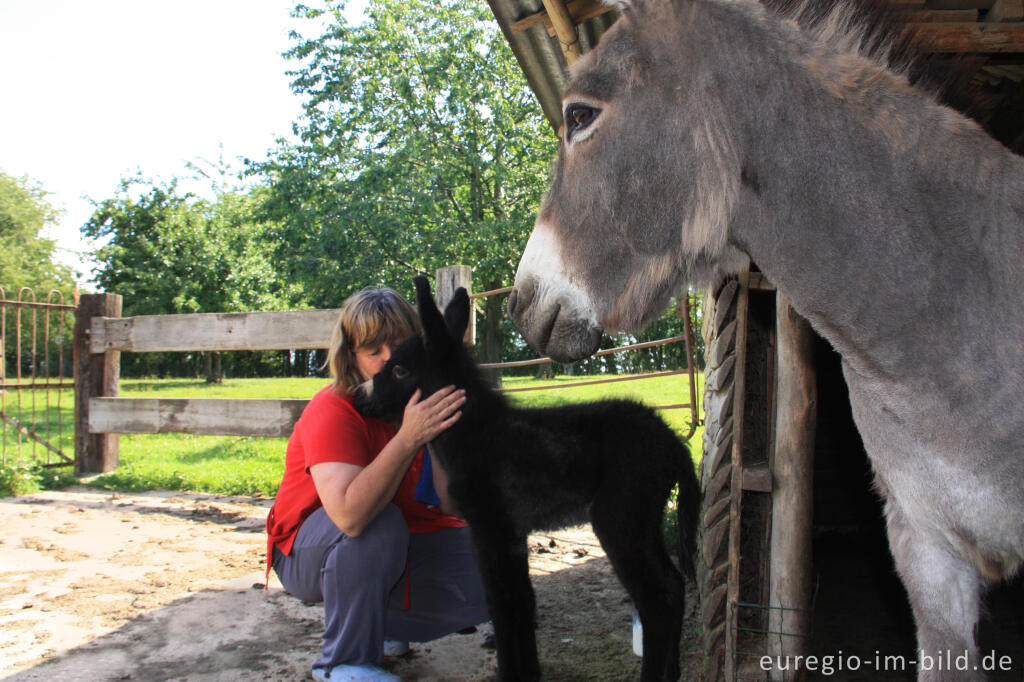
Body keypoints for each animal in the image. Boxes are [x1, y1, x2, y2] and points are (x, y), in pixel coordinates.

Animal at [352, 278, 696, 679]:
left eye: (400, 372)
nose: (358, 396)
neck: (475, 433)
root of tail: (673, 442)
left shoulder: (494, 529)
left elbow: (506, 606)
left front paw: (513, 673)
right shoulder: (512, 534)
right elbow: (521, 604)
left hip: (620, 517)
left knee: (658, 600)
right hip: (645, 520)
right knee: (674, 585)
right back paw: (672, 671)